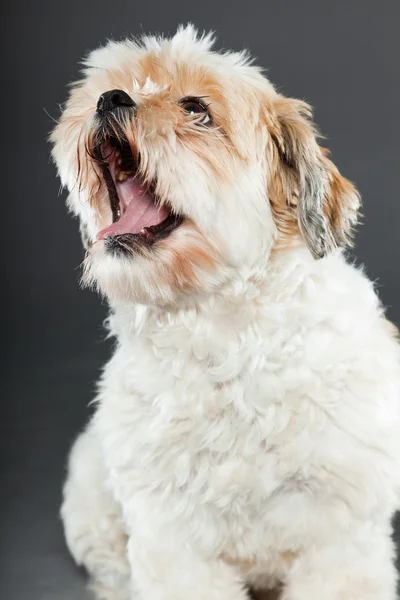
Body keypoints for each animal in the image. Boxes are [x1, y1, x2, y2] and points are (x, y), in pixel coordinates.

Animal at [50, 23, 400, 600]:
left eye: (197, 109)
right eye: (113, 86)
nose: (109, 99)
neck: (225, 335)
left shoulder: (340, 533)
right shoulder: (172, 538)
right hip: (91, 492)